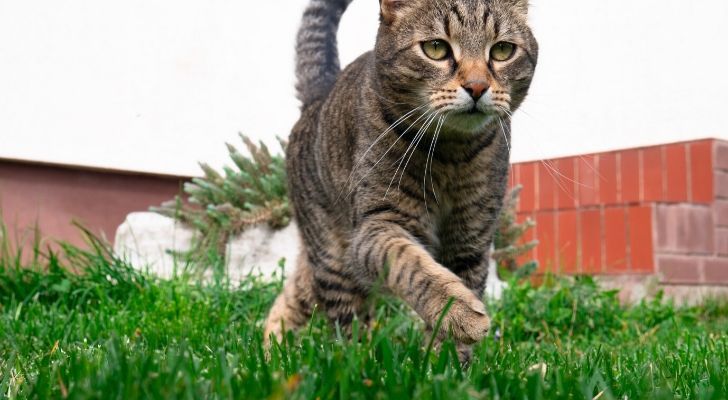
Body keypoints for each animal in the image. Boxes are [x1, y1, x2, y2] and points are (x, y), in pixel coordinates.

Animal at [264, 0, 536, 360]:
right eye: (436, 48)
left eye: (503, 50)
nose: (478, 86)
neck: (451, 154)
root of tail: (319, 95)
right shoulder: (377, 226)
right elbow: (414, 266)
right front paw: (458, 313)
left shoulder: (472, 238)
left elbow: (463, 287)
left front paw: (448, 364)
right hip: (335, 257)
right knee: (345, 322)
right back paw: (355, 361)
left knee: (290, 298)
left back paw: (271, 353)